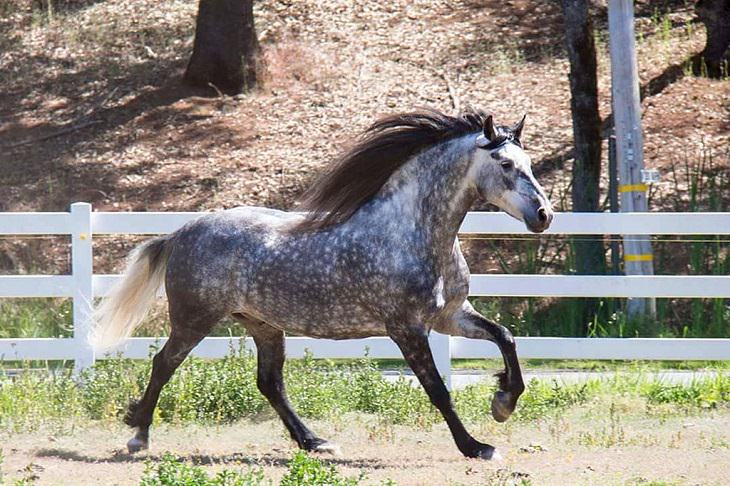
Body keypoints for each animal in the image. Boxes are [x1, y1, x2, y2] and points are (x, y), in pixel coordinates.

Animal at [92, 108, 552, 462]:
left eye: (528, 163)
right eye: (506, 165)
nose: (544, 215)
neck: (410, 233)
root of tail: (183, 231)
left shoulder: (451, 317)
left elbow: (506, 337)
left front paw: (503, 403)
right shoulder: (406, 329)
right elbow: (438, 389)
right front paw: (476, 446)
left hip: (263, 325)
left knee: (269, 383)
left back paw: (314, 442)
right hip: (194, 320)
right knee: (163, 364)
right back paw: (138, 436)